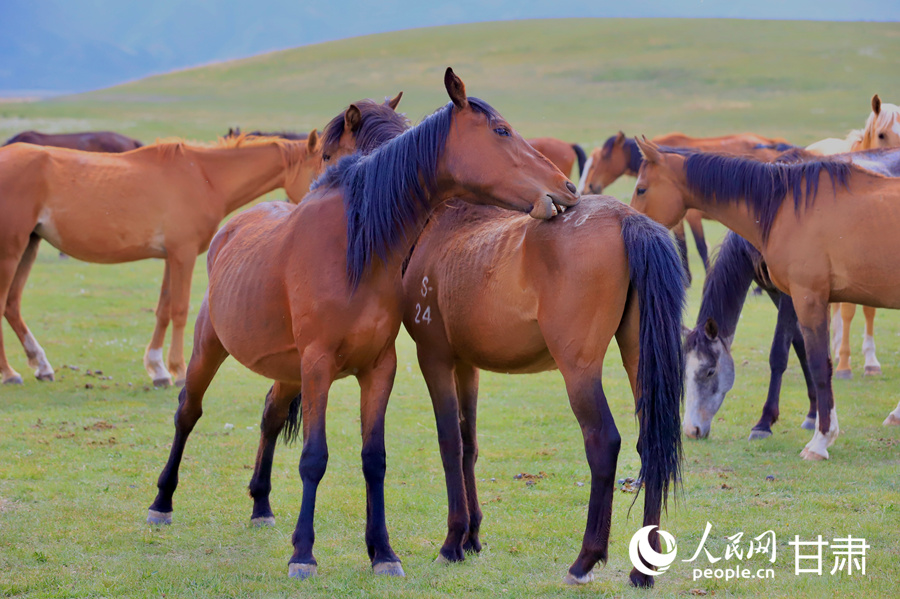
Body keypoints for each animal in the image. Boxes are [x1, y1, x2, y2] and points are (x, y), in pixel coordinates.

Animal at [0, 132, 322, 387]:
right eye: (320, 170)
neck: (204, 176)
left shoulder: (171, 257)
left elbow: (164, 309)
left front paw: (158, 369)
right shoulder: (183, 254)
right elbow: (179, 310)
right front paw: (178, 371)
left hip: (29, 245)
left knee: (12, 305)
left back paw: (41, 365)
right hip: (11, 250)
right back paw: (9, 373)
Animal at [146, 68, 579, 580]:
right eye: (501, 131)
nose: (567, 189)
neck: (356, 246)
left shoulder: (378, 368)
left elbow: (375, 460)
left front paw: (383, 552)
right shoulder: (318, 366)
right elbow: (314, 458)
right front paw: (304, 554)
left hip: (287, 370)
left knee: (270, 417)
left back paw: (261, 506)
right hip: (210, 349)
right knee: (187, 413)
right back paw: (162, 502)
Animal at [400, 196, 684, 587]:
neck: (440, 227)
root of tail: (626, 217)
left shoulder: (434, 358)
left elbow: (450, 445)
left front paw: (452, 543)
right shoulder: (465, 365)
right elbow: (468, 445)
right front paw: (471, 537)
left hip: (578, 370)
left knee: (603, 442)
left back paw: (584, 561)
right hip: (639, 358)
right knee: (651, 444)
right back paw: (642, 571)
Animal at [577, 131, 794, 284]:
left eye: (602, 159)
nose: (587, 188)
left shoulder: (692, 216)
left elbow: (699, 246)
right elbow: (682, 244)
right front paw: (687, 279)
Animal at [631, 138, 900, 460]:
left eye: (641, 188)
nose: (692, 430)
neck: (783, 207)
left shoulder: (807, 298)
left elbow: (812, 363)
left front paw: (819, 439)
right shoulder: (790, 296)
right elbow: (805, 353)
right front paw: (814, 419)